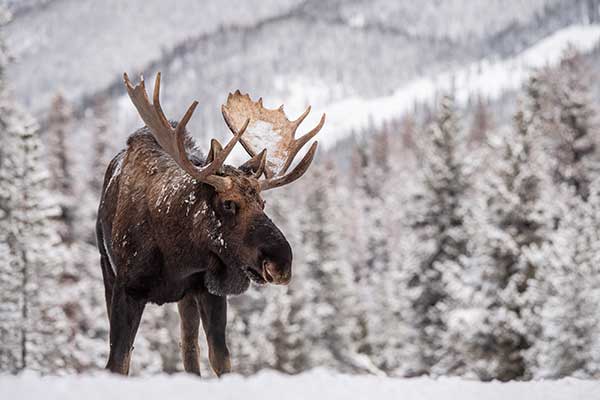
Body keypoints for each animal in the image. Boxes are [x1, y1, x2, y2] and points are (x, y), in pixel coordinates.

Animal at [96, 72, 326, 376]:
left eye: (263, 203)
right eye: (228, 203)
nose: (281, 263)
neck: (176, 255)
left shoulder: (208, 290)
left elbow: (221, 359)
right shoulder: (126, 288)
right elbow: (118, 362)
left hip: (187, 299)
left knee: (189, 350)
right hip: (106, 269)